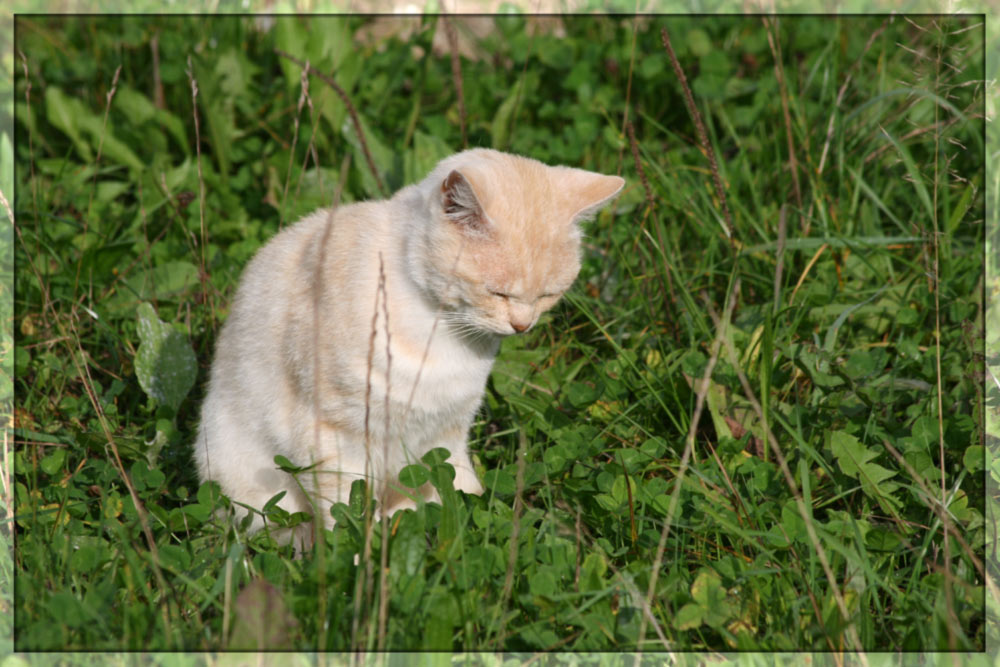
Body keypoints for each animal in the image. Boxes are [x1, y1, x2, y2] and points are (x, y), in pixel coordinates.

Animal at [191, 149, 620, 544]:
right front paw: (354, 552)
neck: (439, 327)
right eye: (497, 292)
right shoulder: (333, 437)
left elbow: (461, 490)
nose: (522, 325)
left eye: (548, 295)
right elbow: (343, 516)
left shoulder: (447, 433)